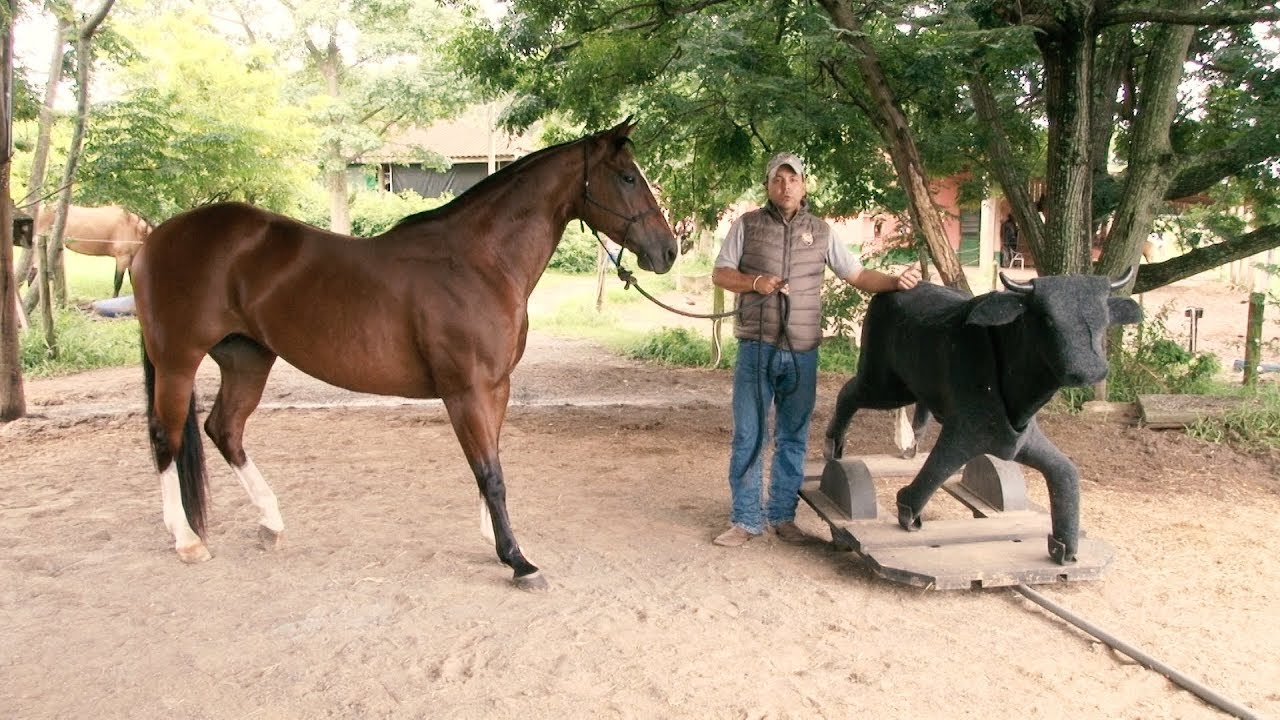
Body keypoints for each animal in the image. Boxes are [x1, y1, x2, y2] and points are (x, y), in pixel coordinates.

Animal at [132, 119, 678, 590]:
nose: (668, 251)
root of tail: (154, 238)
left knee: (224, 430)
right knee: (166, 438)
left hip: (247, 359)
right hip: (178, 362)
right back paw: (186, 541)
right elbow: (489, 473)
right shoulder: (465, 392)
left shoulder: (496, 388)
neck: (478, 262)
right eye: (628, 177)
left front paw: (493, 537)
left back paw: (271, 523)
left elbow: (493, 465)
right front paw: (518, 560)